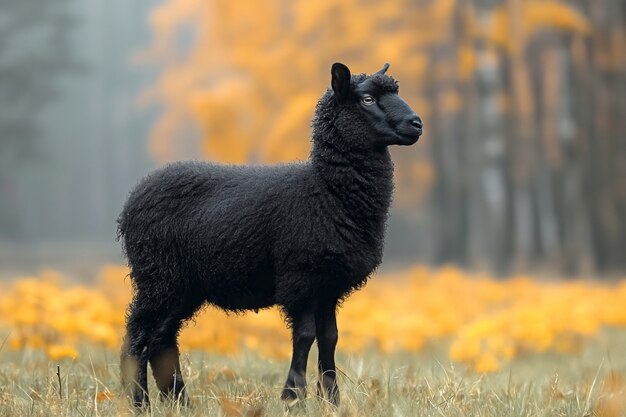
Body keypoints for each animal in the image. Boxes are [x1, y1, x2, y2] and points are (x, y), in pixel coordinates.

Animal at [119, 61, 422, 406]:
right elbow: (305, 336)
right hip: (158, 276)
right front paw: (293, 397)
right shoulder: (300, 277)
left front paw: (331, 401)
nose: (417, 123)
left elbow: (330, 338)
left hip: (182, 285)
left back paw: (179, 401)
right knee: (138, 335)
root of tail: (132, 201)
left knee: (162, 337)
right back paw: (140, 403)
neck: (325, 190)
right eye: (367, 99)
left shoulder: (329, 284)